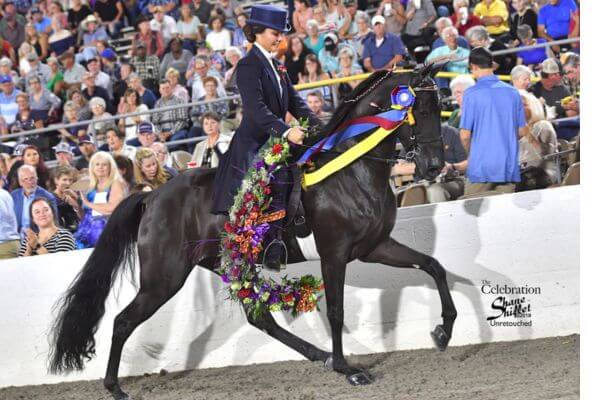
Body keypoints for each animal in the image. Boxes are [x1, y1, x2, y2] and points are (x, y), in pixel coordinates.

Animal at [49, 64, 458, 398]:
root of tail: (151, 196)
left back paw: (320, 356)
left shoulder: (375, 246)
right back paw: (114, 387)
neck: (352, 170)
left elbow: (434, 266)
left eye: (439, 107)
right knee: (123, 320)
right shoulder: (335, 254)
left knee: (259, 317)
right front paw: (348, 369)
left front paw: (443, 331)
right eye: (420, 110)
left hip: (226, 265)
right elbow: (337, 311)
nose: (434, 166)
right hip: (165, 277)